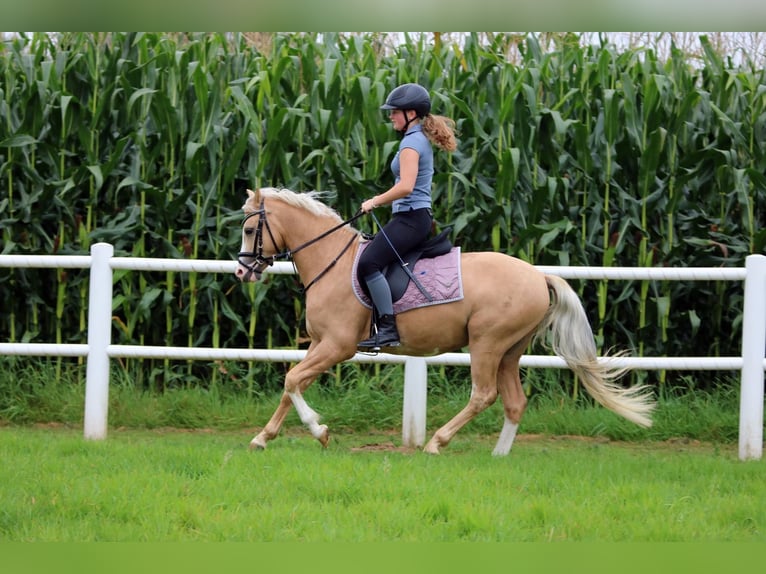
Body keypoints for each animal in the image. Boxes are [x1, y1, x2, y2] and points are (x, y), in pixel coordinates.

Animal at [235, 187, 655, 455]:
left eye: (250, 230)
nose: (241, 272)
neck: (331, 263)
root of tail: (539, 276)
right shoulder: (322, 345)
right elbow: (292, 384)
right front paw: (263, 438)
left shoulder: (338, 346)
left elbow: (292, 380)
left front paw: (319, 430)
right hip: (510, 351)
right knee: (515, 401)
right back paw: (498, 456)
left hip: (487, 344)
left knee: (484, 395)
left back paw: (438, 442)